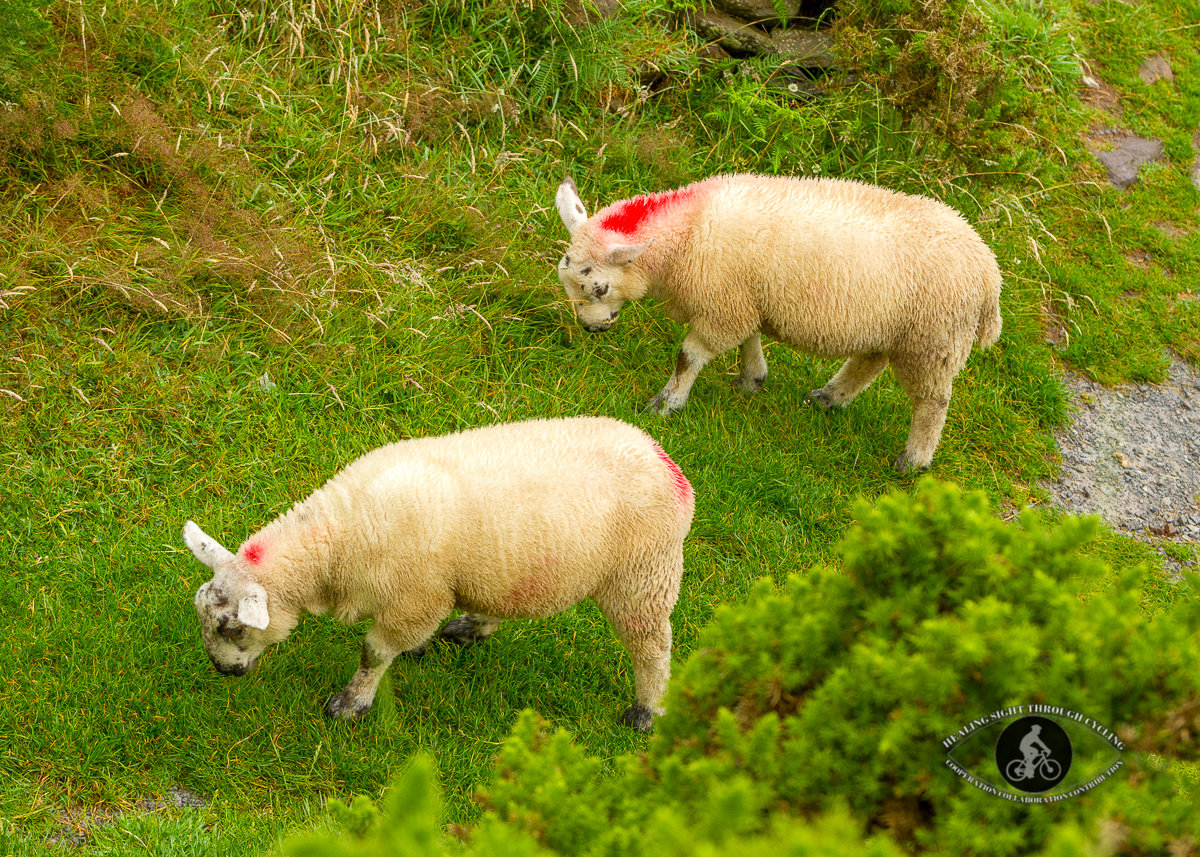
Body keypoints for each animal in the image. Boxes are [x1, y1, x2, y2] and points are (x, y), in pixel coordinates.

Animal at [182, 412, 700, 729]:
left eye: (232, 628)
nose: (222, 672)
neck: (337, 540)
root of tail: (664, 460)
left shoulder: (414, 598)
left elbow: (373, 653)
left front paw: (351, 704)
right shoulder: (420, 599)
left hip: (643, 574)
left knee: (653, 647)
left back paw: (646, 712)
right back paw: (470, 627)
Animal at [552, 171, 1003, 470]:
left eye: (599, 288)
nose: (591, 329)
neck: (687, 231)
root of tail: (989, 273)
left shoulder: (723, 305)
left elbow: (688, 358)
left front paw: (667, 403)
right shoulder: (742, 300)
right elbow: (750, 338)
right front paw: (752, 378)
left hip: (933, 340)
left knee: (933, 402)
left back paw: (914, 459)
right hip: (894, 330)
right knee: (869, 361)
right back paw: (829, 397)